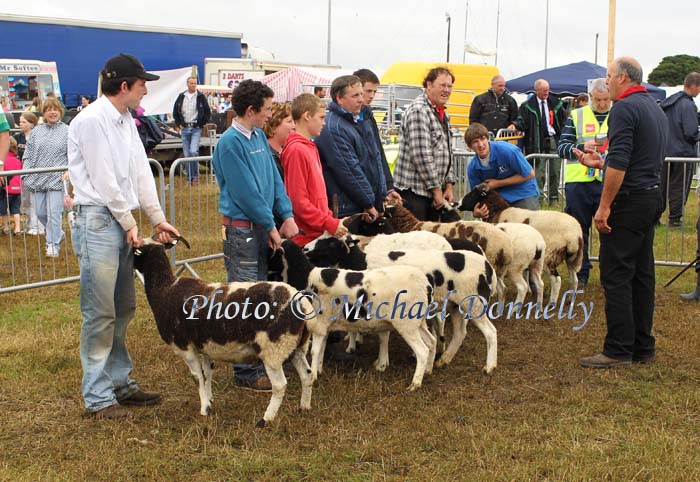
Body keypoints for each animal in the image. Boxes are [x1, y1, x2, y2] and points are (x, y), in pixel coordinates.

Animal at [133, 239, 314, 428]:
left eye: (136, 251)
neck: (165, 289)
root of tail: (300, 301)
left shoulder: (185, 347)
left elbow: (197, 377)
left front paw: (204, 409)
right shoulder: (205, 347)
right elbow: (207, 374)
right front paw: (210, 400)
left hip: (274, 350)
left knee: (279, 385)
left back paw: (266, 419)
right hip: (296, 346)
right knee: (307, 375)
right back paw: (304, 407)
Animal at [304, 235, 498, 374]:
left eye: (330, 243)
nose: (304, 248)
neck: (360, 263)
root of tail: (488, 267)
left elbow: (383, 335)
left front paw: (381, 363)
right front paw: (354, 344)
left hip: (475, 303)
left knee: (490, 332)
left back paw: (489, 366)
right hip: (456, 305)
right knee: (459, 333)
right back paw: (444, 360)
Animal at [456, 183, 584, 304]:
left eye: (474, 192)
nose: (457, 204)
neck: (498, 211)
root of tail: (576, 234)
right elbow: (526, 272)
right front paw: (529, 291)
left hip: (550, 255)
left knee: (556, 280)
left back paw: (552, 303)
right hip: (571, 257)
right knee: (574, 278)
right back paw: (570, 299)